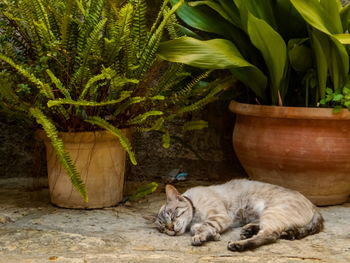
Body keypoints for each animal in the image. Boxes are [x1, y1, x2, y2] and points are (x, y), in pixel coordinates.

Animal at [145, 180, 322, 253]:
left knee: (270, 235)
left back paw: (238, 245)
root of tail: (314, 206)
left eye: (173, 215)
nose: (171, 229)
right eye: (162, 228)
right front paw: (211, 235)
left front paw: (202, 235)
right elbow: (203, 228)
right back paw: (248, 231)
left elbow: (202, 227)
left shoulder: (219, 216)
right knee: (274, 231)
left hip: (272, 212)